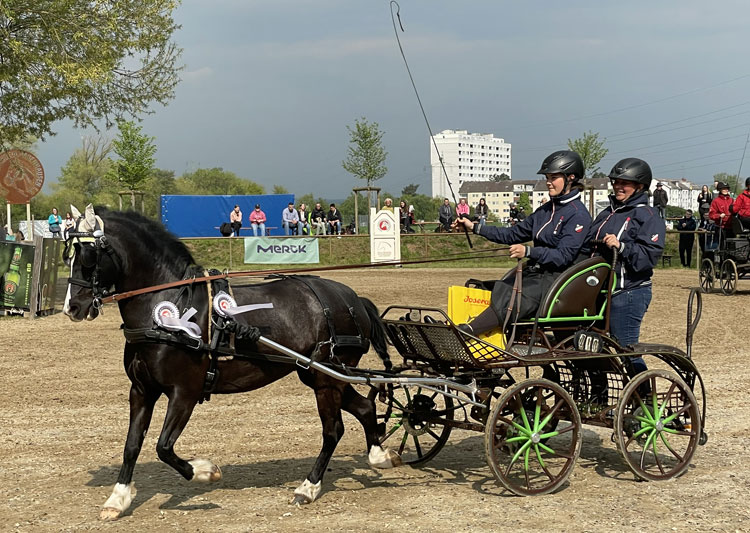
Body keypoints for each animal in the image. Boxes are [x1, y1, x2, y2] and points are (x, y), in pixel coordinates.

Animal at [63, 205, 400, 520]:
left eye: (89, 255)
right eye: (69, 252)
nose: (73, 307)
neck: (166, 308)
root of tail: (352, 299)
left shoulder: (184, 393)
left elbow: (163, 447)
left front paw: (205, 471)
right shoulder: (142, 390)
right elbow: (132, 444)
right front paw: (117, 499)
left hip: (327, 379)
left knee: (333, 430)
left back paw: (308, 487)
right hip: (323, 374)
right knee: (364, 407)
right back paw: (379, 456)